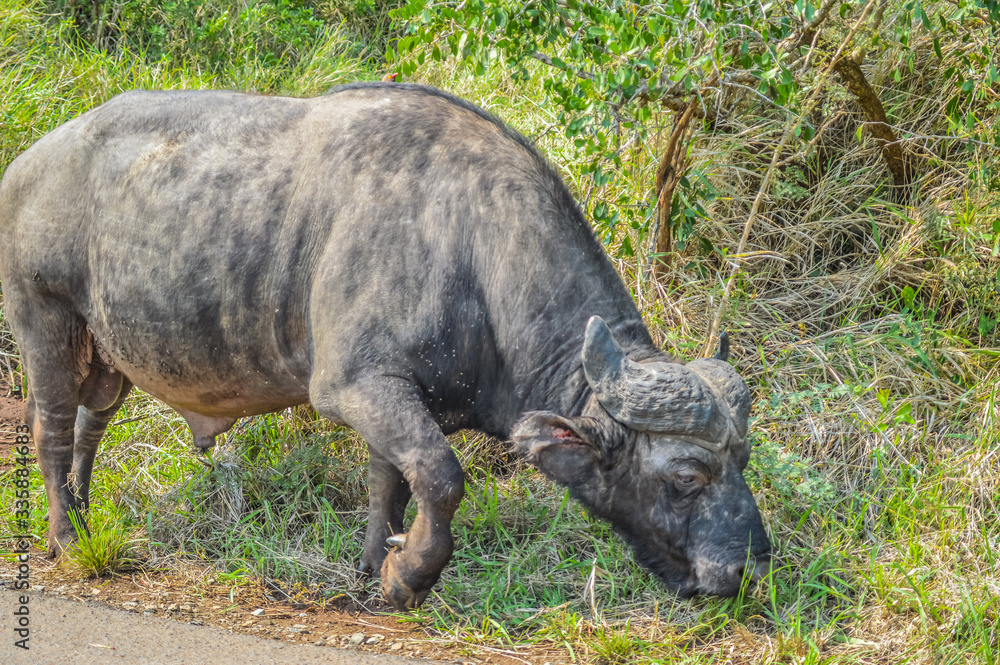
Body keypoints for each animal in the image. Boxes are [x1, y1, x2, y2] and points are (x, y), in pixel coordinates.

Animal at [0, 83, 770, 609]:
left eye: (743, 461)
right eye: (687, 475)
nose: (748, 569)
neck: (473, 249)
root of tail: (26, 164)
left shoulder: (399, 395)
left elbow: (392, 481)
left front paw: (377, 562)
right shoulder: (355, 386)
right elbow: (441, 477)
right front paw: (410, 577)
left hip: (109, 355)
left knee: (88, 425)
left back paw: (82, 517)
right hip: (45, 321)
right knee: (49, 429)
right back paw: (66, 538)